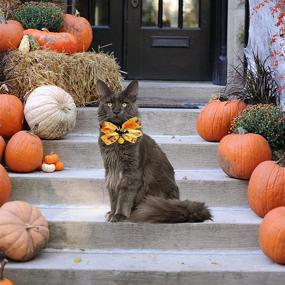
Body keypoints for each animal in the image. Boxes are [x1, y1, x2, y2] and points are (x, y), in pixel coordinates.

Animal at [97, 79, 211, 223]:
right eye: (109, 103)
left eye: (124, 104)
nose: (116, 111)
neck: (118, 136)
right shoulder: (110, 170)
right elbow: (113, 195)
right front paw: (112, 212)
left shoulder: (131, 173)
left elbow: (124, 197)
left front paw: (120, 215)